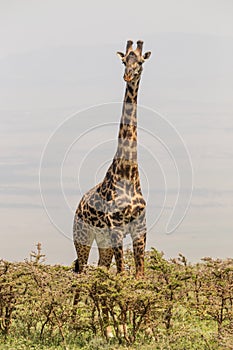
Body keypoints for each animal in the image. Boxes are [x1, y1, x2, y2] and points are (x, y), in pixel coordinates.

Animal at [73, 39, 152, 278]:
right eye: (124, 61)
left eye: (141, 61)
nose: (128, 75)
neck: (128, 173)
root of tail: (78, 205)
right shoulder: (116, 228)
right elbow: (122, 274)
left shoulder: (140, 229)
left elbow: (139, 275)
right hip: (83, 236)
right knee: (81, 272)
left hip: (103, 241)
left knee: (101, 267)